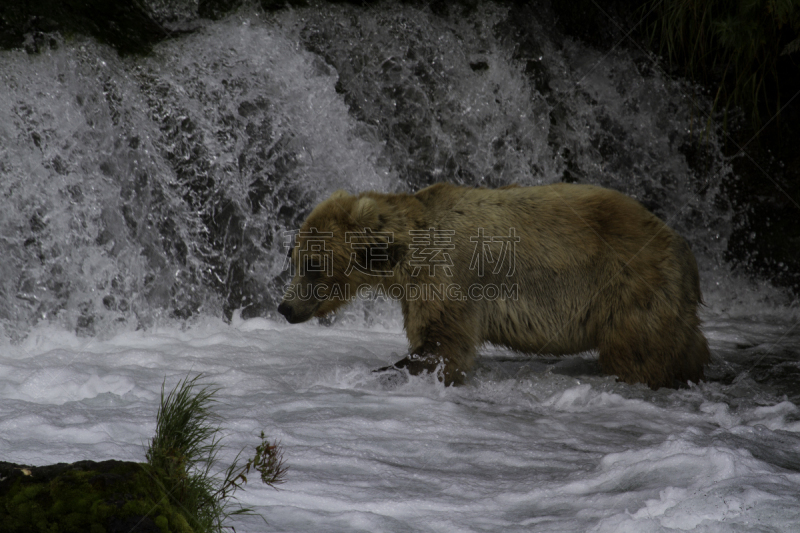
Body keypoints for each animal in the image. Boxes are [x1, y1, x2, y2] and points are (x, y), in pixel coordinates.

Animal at [278, 182, 708, 386]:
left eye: (313, 264)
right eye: (293, 257)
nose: (285, 307)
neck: (405, 253)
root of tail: (680, 243)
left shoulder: (447, 279)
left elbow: (442, 346)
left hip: (629, 285)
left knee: (637, 351)